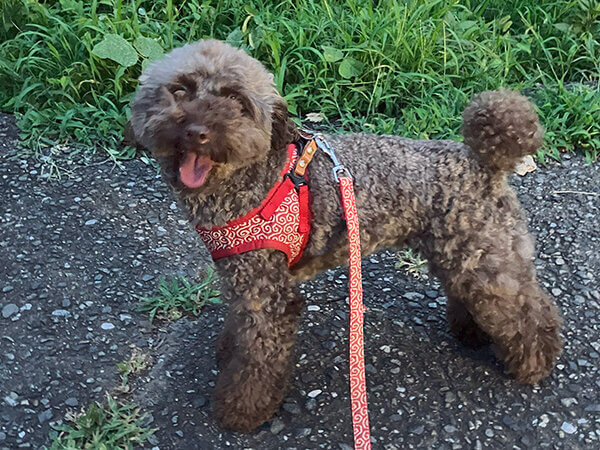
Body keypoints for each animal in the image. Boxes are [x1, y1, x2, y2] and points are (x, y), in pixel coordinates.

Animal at [130, 39, 564, 432]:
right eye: (180, 90)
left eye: (236, 100)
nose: (197, 131)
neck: (248, 179)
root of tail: (481, 159)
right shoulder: (243, 278)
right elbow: (238, 328)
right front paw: (226, 353)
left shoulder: (269, 295)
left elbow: (257, 359)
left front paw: (241, 411)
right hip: (460, 250)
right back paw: (472, 333)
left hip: (486, 256)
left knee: (528, 311)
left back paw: (535, 363)